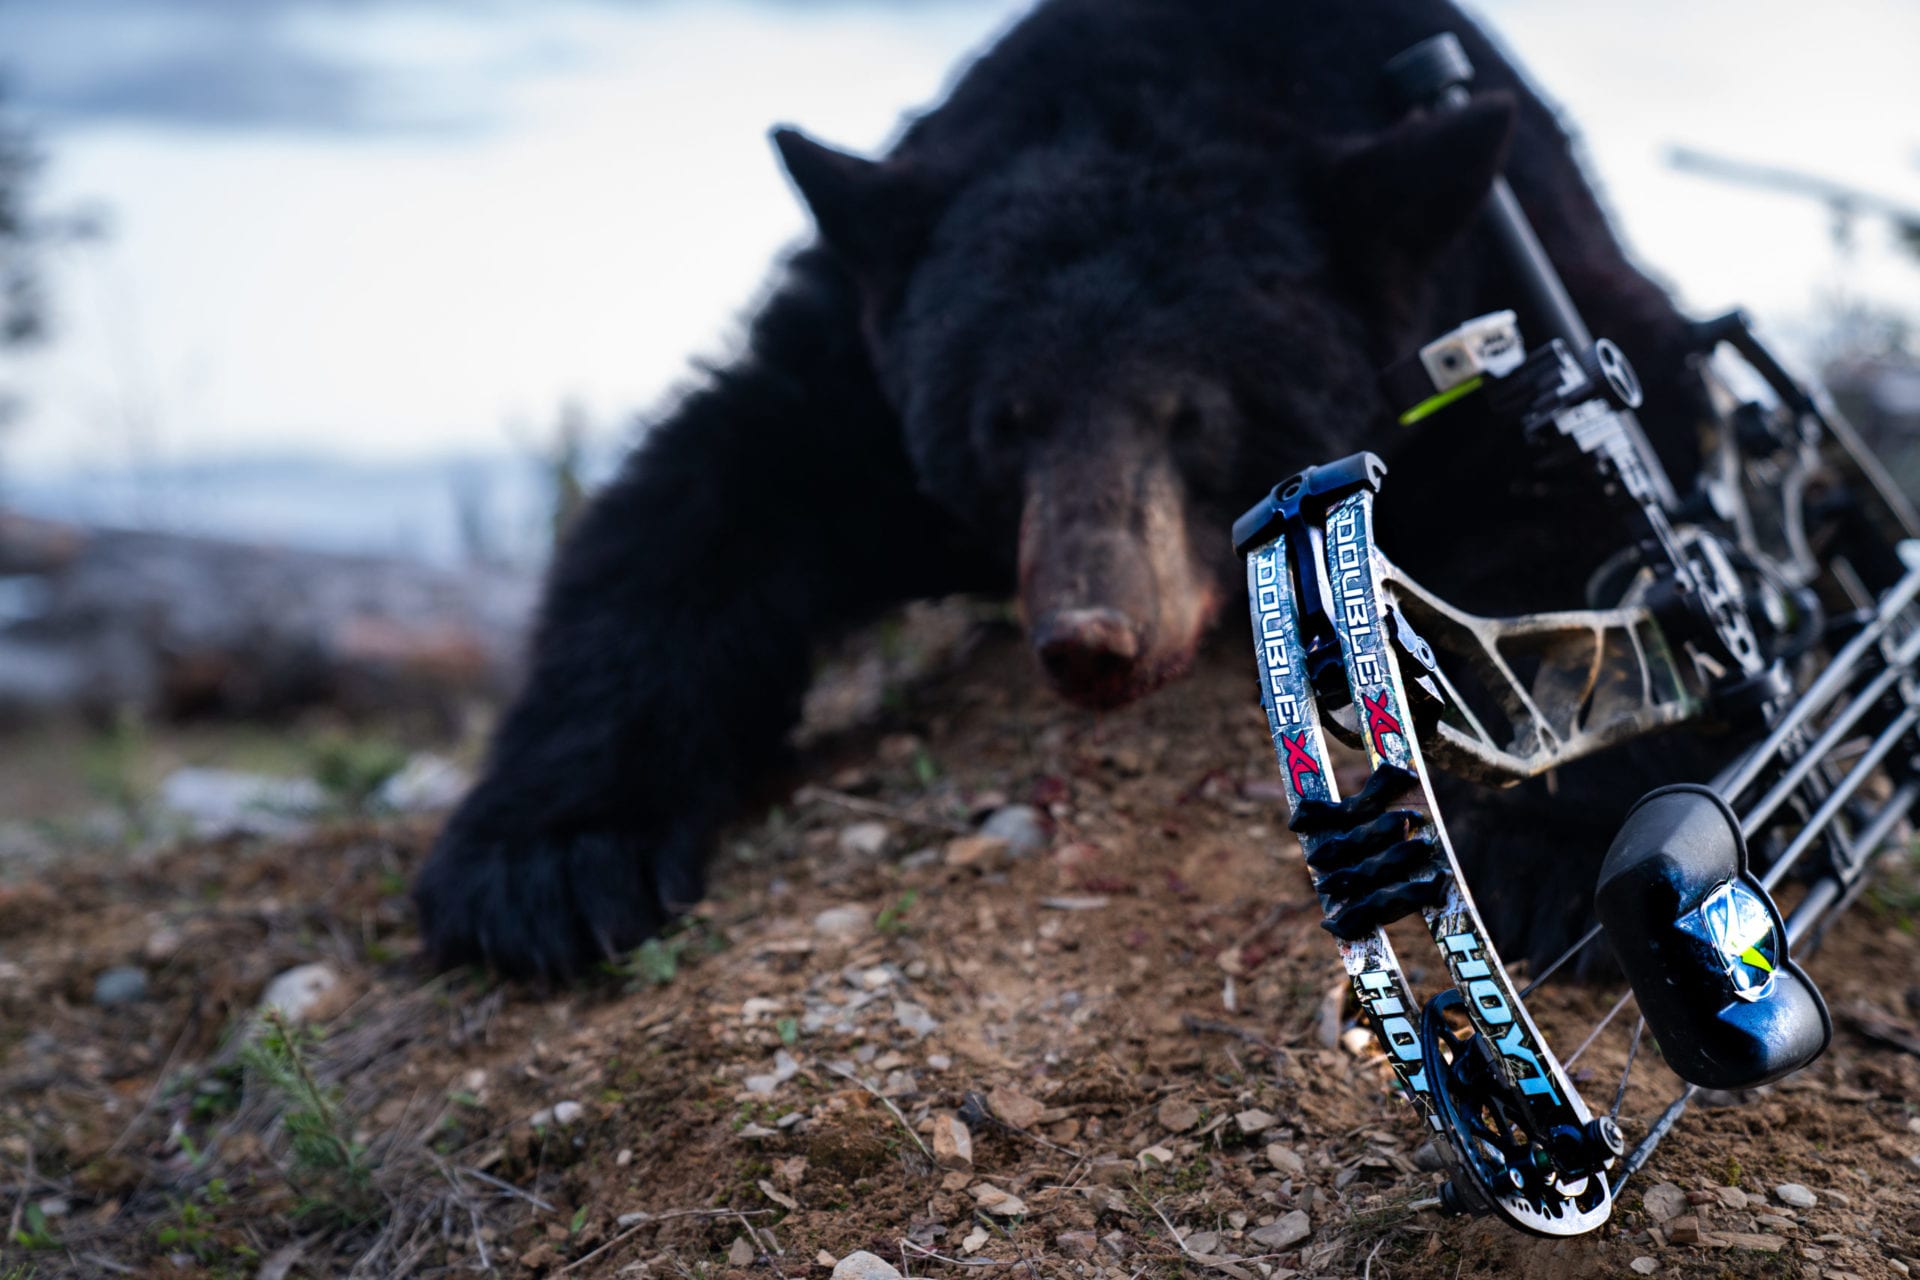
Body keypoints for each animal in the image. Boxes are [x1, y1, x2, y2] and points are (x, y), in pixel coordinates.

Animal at [413, 0, 1709, 980]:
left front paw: (1560, 852)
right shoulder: (857, 368)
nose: (1096, 634)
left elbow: (1615, 508)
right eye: (1005, 419)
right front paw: (548, 858)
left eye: (1198, 415)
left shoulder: (1501, 295)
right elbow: (699, 504)